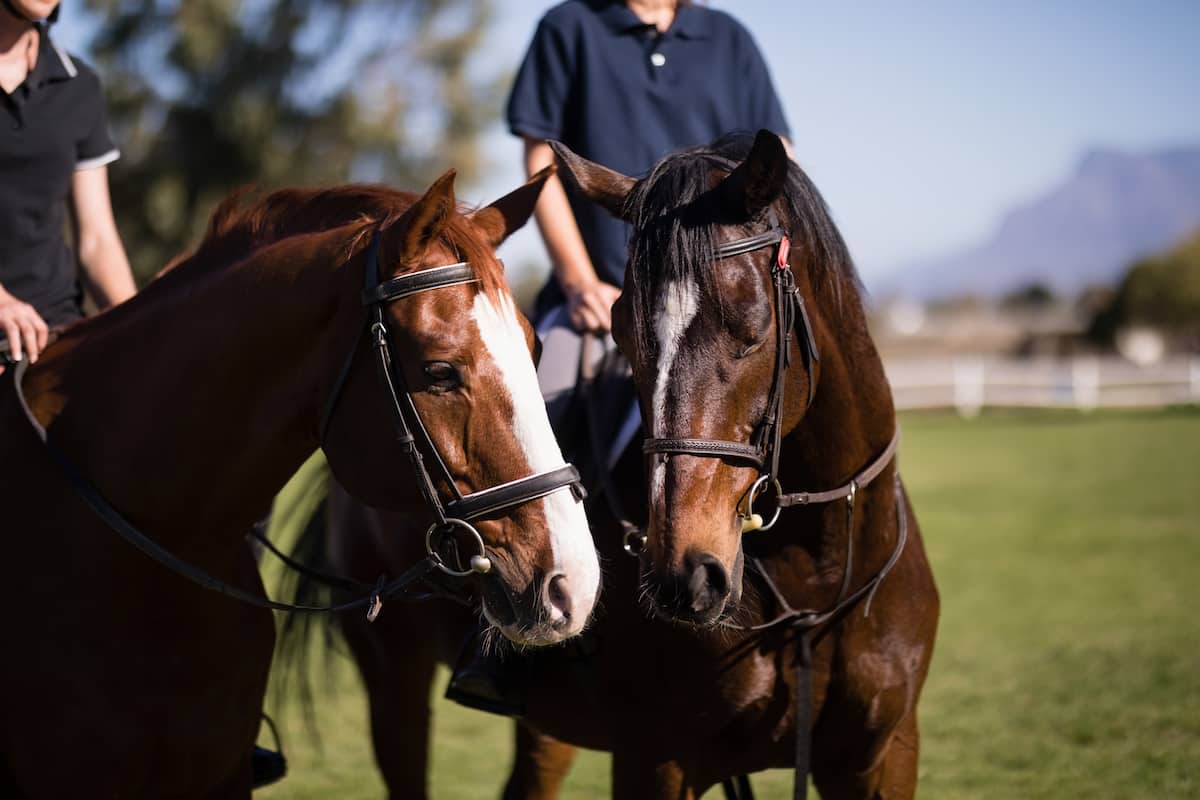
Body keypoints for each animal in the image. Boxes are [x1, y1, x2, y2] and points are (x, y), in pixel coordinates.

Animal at [307, 133, 936, 800]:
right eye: (622, 331)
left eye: (752, 325)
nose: (685, 575)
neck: (819, 574)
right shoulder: (656, 760)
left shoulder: (883, 757)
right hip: (393, 674)